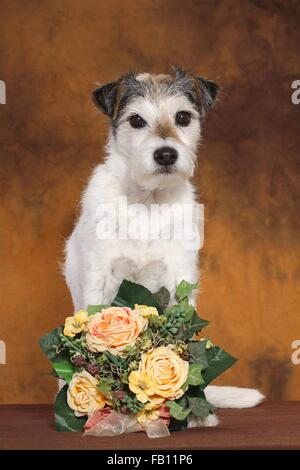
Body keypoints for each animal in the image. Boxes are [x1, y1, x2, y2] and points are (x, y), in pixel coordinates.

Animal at [62, 67, 262, 418]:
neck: (147, 201)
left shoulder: (179, 278)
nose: (166, 154)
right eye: (136, 120)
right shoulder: (98, 279)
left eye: (183, 117)